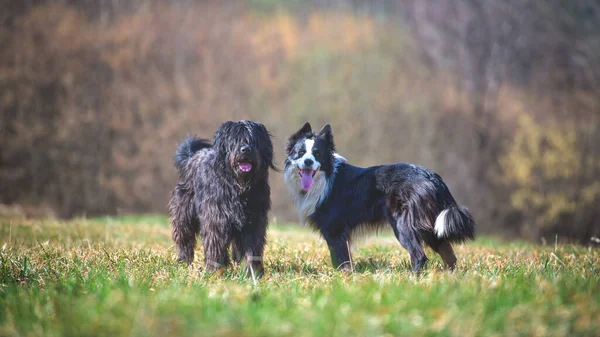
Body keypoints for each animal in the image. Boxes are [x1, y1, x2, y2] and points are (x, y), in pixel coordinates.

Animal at [169, 119, 276, 274]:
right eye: (235, 139)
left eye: (254, 140)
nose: (245, 149)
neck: (238, 187)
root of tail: (191, 157)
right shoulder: (216, 218)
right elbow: (215, 244)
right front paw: (214, 271)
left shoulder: (254, 221)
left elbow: (252, 248)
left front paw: (252, 272)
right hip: (184, 213)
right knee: (184, 237)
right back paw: (184, 261)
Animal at [284, 122, 476, 272]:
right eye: (300, 152)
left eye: (317, 153)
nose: (308, 162)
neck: (324, 177)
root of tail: (432, 176)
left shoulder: (335, 230)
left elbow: (341, 260)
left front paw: (342, 279)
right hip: (430, 225)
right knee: (448, 254)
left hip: (403, 225)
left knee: (419, 255)